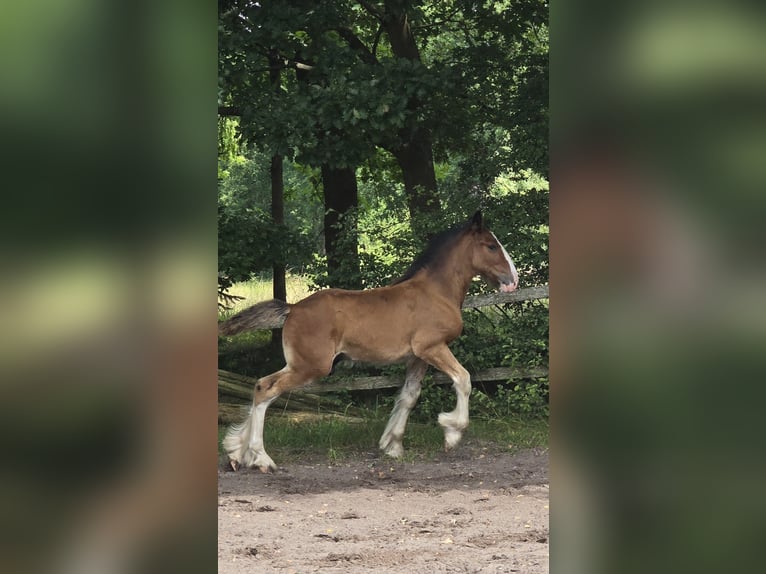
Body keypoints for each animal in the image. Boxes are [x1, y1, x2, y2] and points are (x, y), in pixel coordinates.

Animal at [219, 212, 520, 472]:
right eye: (491, 246)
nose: (514, 280)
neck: (436, 292)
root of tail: (292, 308)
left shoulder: (418, 357)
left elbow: (409, 396)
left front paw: (392, 445)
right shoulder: (432, 347)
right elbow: (464, 379)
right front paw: (452, 433)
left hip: (299, 364)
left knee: (260, 384)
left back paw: (237, 453)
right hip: (311, 366)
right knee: (267, 390)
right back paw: (261, 459)